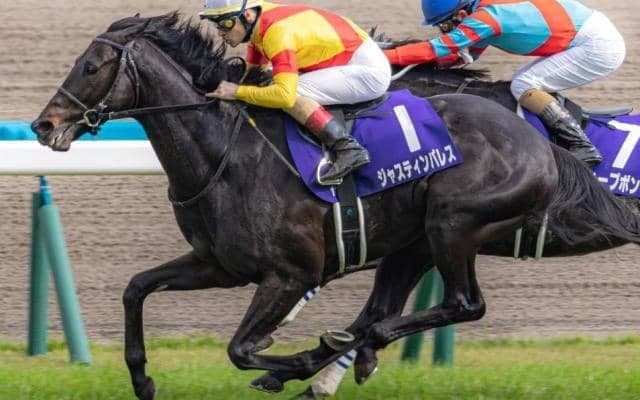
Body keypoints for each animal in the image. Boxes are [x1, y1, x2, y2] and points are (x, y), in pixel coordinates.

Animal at [30, 14, 640, 399]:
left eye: (92, 67)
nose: (43, 124)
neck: (226, 152)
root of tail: (542, 147)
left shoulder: (292, 273)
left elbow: (243, 347)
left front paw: (295, 363)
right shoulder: (221, 264)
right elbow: (137, 288)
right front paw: (143, 380)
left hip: (451, 225)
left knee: (462, 305)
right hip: (421, 240)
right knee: (392, 313)